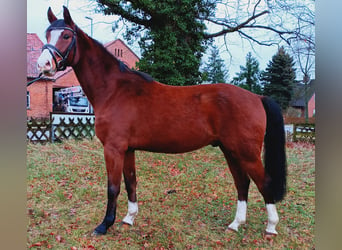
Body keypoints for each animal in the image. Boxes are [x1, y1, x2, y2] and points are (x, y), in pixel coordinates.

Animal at [36, 5, 286, 236]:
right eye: (47, 34)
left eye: (66, 36)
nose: (43, 65)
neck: (115, 90)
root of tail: (256, 97)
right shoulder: (128, 149)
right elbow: (131, 182)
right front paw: (129, 218)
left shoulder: (113, 148)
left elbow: (113, 187)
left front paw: (104, 225)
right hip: (230, 150)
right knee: (242, 183)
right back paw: (235, 224)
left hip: (246, 153)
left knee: (264, 183)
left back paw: (271, 227)